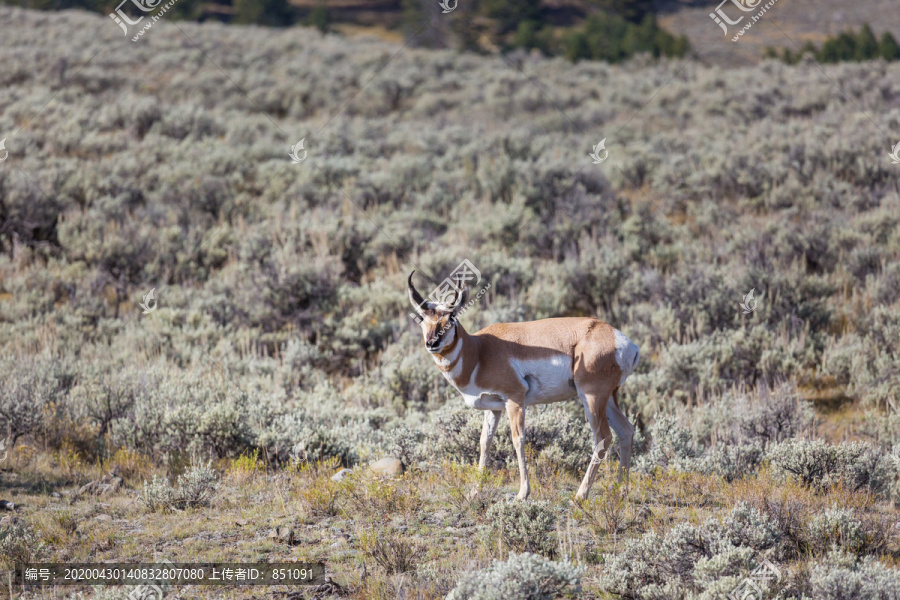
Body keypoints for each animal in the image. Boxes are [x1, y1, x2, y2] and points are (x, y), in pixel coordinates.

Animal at [408, 270, 640, 500]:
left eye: (452, 317)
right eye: (422, 318)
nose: (432, 343)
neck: (480, 351)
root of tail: (620, 339)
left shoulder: (515, 400)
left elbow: (517, 439)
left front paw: (522, 493)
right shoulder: (494, 408)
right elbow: (484, 441)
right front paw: (475, 491)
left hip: (591, 398)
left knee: (603, 437)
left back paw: (580, 495)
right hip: (607, 399)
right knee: (626, 430)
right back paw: (621, 491)